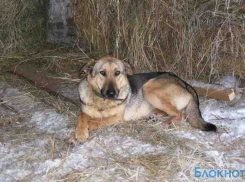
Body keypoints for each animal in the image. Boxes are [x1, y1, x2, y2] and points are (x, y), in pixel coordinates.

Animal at [69, 56, 216, 143]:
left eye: (117, 73)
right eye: (102, 73)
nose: (112, 93)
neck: (102, 101)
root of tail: (185, 83)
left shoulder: (116, 118)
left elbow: (93, 121)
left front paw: (80, 135)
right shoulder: (86, 112)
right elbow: (82, 117)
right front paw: (77, 133)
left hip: (149, 87)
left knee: (180, 115)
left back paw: (166, 123)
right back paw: (154, 116)